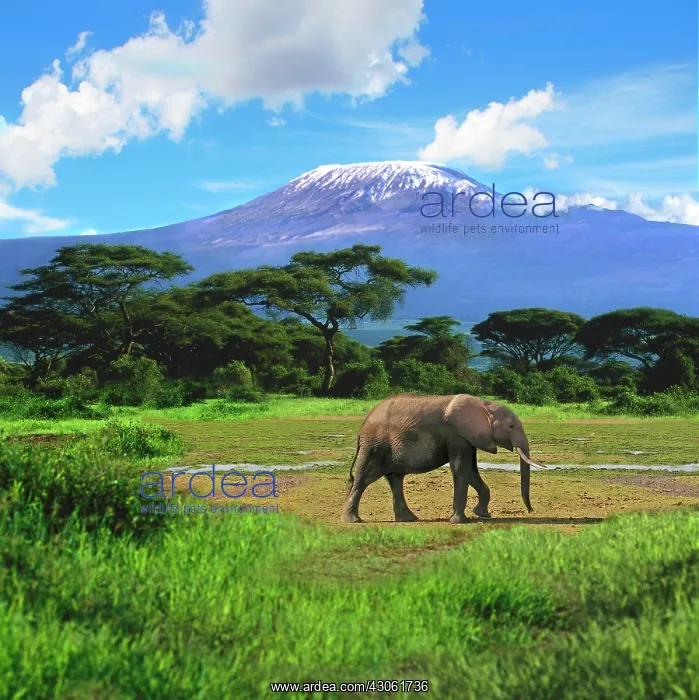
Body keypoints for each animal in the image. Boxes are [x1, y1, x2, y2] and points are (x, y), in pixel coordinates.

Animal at [340, 393, 548, 524]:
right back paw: (353, 520)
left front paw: (482, 514)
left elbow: (471, 471)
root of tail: (361, 429)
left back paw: (408, 519)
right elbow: (461, 470)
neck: (483, 404)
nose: (531, 511)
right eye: (511, 426)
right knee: (363, 479)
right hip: (374, 447)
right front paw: (460, 521)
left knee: (395, 480)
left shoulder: (468, 438)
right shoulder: (456, 435)